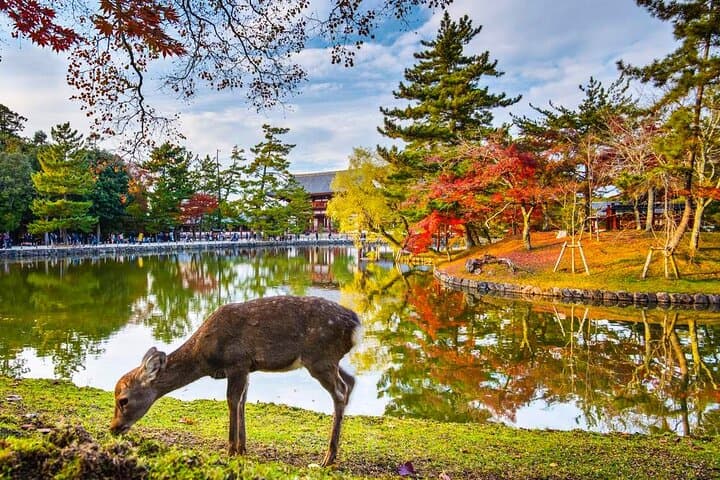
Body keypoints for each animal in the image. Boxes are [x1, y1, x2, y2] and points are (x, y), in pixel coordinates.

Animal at [110, 295, 361, 467]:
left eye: (123, 400)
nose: (113, 428)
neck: (204, 356)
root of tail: (356, 325)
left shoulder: (237, 362)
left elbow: (232, 400)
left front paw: (230, 450)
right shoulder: (247, 368)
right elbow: (242, 401)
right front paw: (242, 449)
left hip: (320, 357)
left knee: (340, 391)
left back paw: (328, 457)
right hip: (328, 360)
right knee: (350, 381)